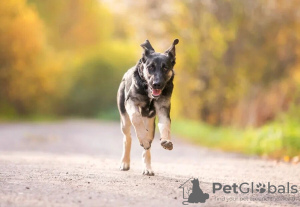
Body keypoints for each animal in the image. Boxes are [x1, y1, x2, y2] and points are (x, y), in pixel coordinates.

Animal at [116, 38, 178, 175]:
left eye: (165, 68)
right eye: (150, 67)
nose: (157, 84)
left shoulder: (163, 108)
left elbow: (165, 124)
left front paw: (166, 140)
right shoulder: (131, 103)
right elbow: (136, 118)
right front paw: (142, 138)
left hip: (150, 124)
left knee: (147, 146)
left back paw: (148, 168)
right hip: (124, 120)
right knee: (128, 138)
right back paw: (125, 162)